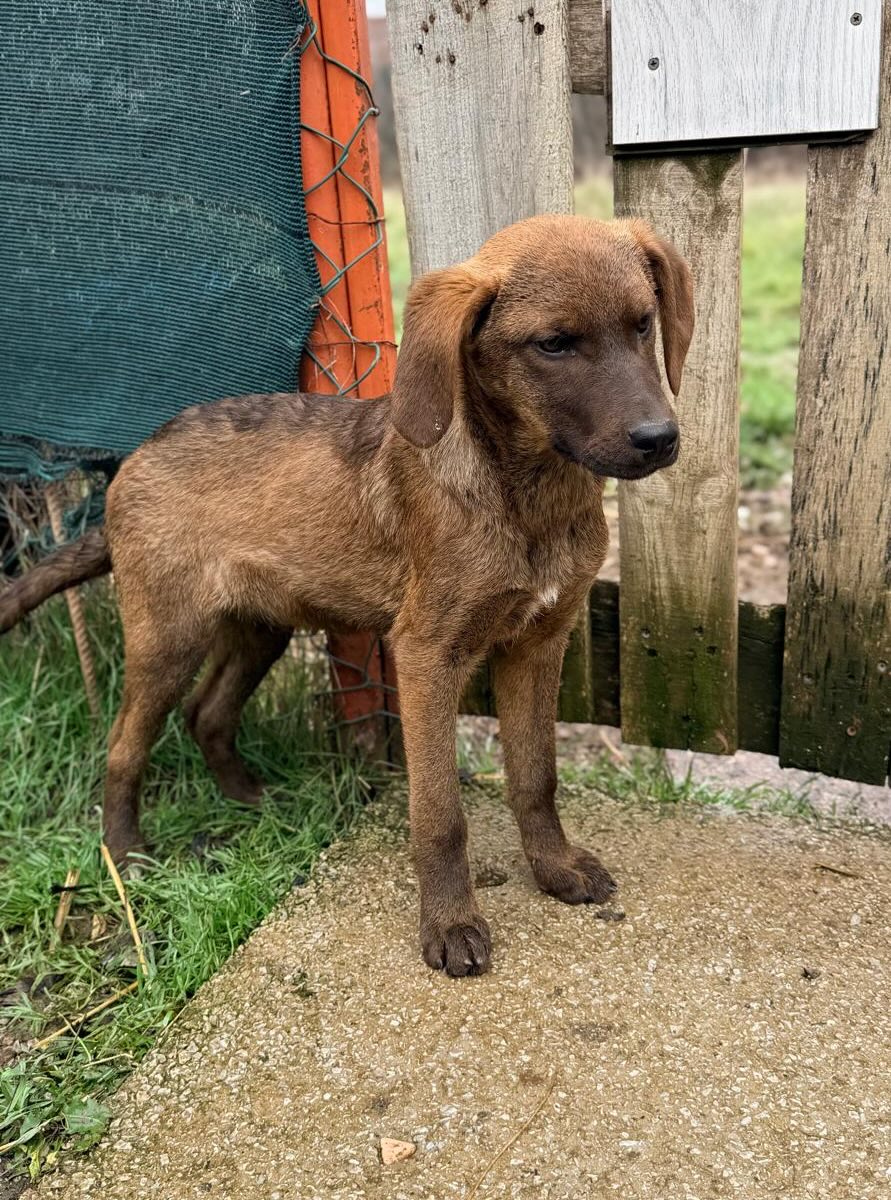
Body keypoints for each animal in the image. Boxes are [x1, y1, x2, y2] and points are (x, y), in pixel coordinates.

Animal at [0, 214, 693, 975]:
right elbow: (440, 816)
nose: (660, 439)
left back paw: (253, 802)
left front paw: (556, 869)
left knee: (207, 714)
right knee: (125, 745)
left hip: (259, 626)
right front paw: (451, 925)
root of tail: (134, 458)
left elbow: (535, 777)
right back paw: (125, 856)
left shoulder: (539, 642)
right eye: (554, 344)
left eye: (642, 324)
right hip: (168, 636)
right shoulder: (427, 653)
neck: (527, 493)